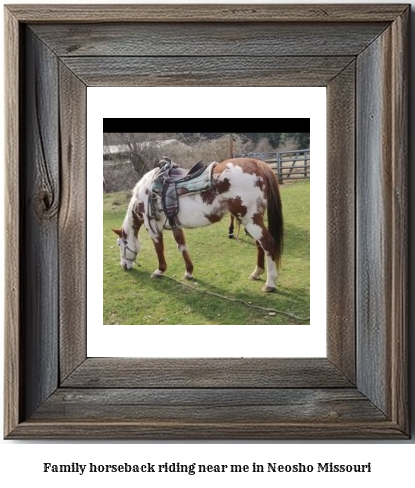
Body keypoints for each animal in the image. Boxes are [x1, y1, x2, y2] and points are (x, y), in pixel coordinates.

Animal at [112, 158, 284, 292]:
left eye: (120, 244)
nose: (123, 266)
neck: (146, 192)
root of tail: (257, 164)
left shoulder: (152, 227)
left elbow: (158, 248)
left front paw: (159, 271)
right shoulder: (175, 226)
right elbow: (182, 246)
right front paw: (188, 272)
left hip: (250, 219)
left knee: (267, 243)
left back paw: (270, 283)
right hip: (250, 220)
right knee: (259, 244)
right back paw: (257, 273)